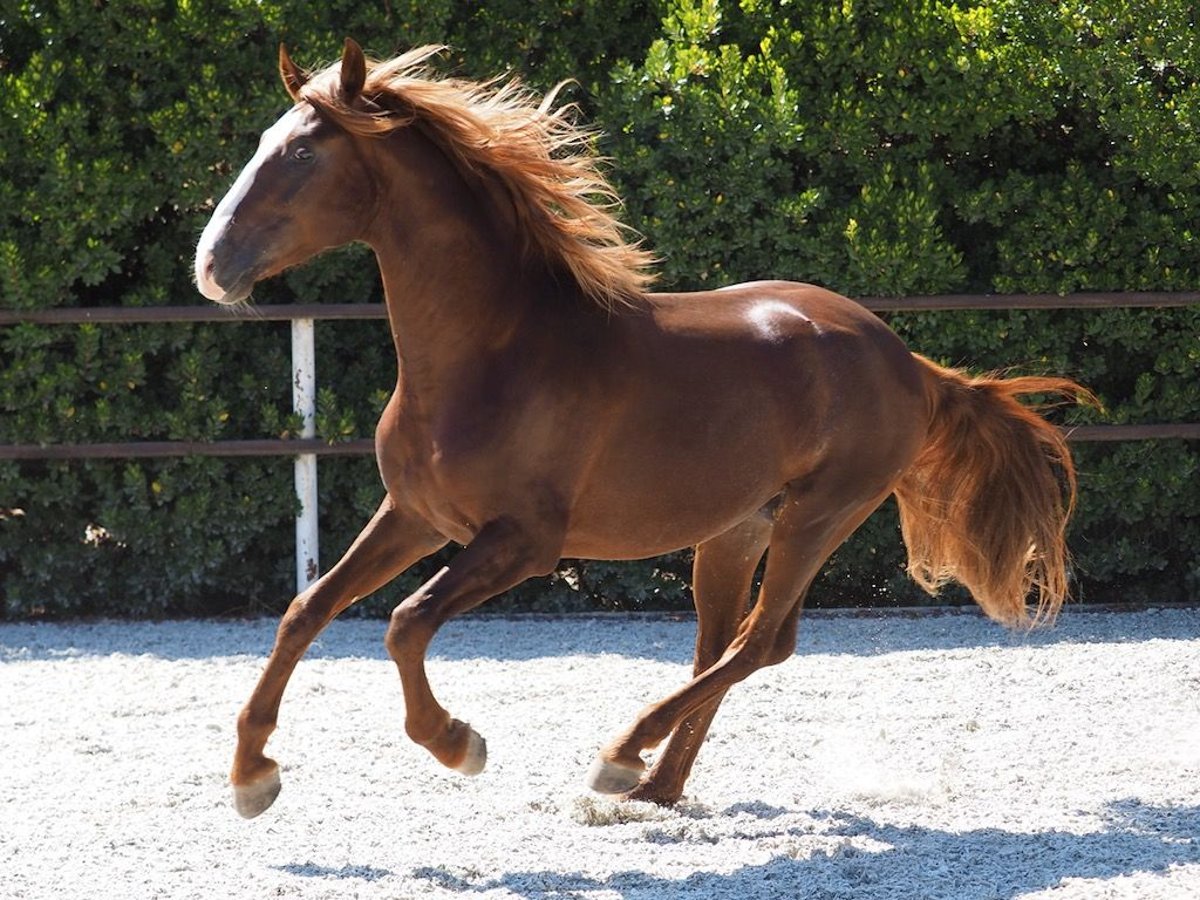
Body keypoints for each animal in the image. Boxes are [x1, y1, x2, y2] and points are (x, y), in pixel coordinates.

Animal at [192, 38, 1084, 820]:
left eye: (301, 156)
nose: (212, 265)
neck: (493, 354)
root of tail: (912, 366)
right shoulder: (415, 515)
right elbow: (305, 610)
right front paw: (251, 777)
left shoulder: (525, 541)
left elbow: (406, 623)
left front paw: (457, 743)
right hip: (737, 529)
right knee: (725, 645)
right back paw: (657, 786)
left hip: (820, 515)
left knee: (761, 642)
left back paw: (622, 756)